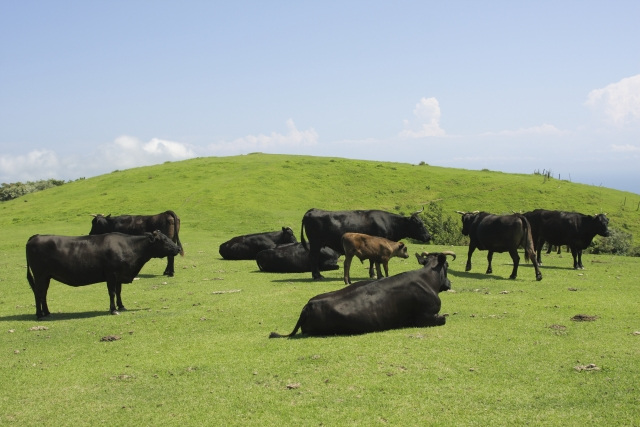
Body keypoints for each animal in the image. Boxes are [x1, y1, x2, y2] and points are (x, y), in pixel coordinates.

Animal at [25, 232, 180, 320]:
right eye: (164, 240)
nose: (178, 248)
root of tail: (36, 236)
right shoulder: (111, 274)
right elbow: (112, 292)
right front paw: (113, 310)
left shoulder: (119, 276)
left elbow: (119, 291)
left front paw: (121, 306)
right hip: (39, 275)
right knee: (38, 293)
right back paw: (39, 314)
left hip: (46, 276)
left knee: (43, 293)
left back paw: (47, 312)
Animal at [268, 251, 456, 338]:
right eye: (447, 265)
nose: (449, 283)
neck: (427, 279)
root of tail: (308, 305)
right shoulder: (425, 316)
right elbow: (443, 318)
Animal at [298, 208, 430, 280]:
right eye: (419, 224)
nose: (429, 236)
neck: (388, 222)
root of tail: (312, 210)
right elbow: (373, 261)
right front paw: (374, 274)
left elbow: (372, 260)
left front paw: (372, 274)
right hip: (315, 243)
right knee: (313, 257)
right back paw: (317, 276)